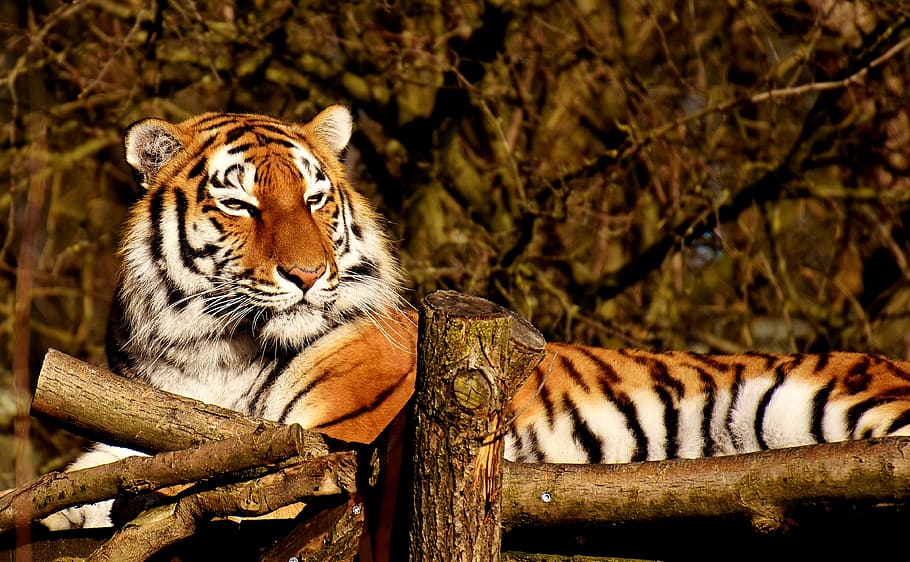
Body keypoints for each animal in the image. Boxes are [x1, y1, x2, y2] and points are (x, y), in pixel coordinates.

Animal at [43, 105, 910, 529]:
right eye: (242, 204)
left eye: (316, 198)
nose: (309, 276)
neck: (214, 349)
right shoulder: (133, 427)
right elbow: (75, 480)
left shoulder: (333, 448)